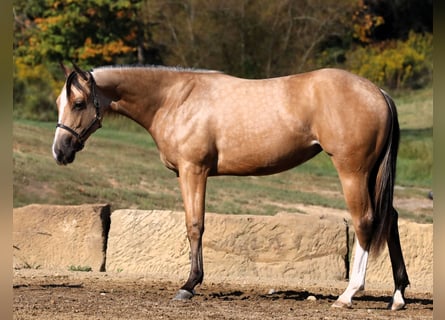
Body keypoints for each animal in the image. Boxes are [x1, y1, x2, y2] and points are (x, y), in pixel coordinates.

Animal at [52, 62, 410, 310]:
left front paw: (189, 285)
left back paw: (348, 294)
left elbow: (195, 226)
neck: (175, 99)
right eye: (60, 102)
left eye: (79, 103)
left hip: (353, 172)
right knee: (390, 219)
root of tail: (379, 93)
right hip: (373, 174)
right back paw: (397, 296)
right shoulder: (189, 174)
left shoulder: (193, 171)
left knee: (365, 221)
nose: (60, 151)